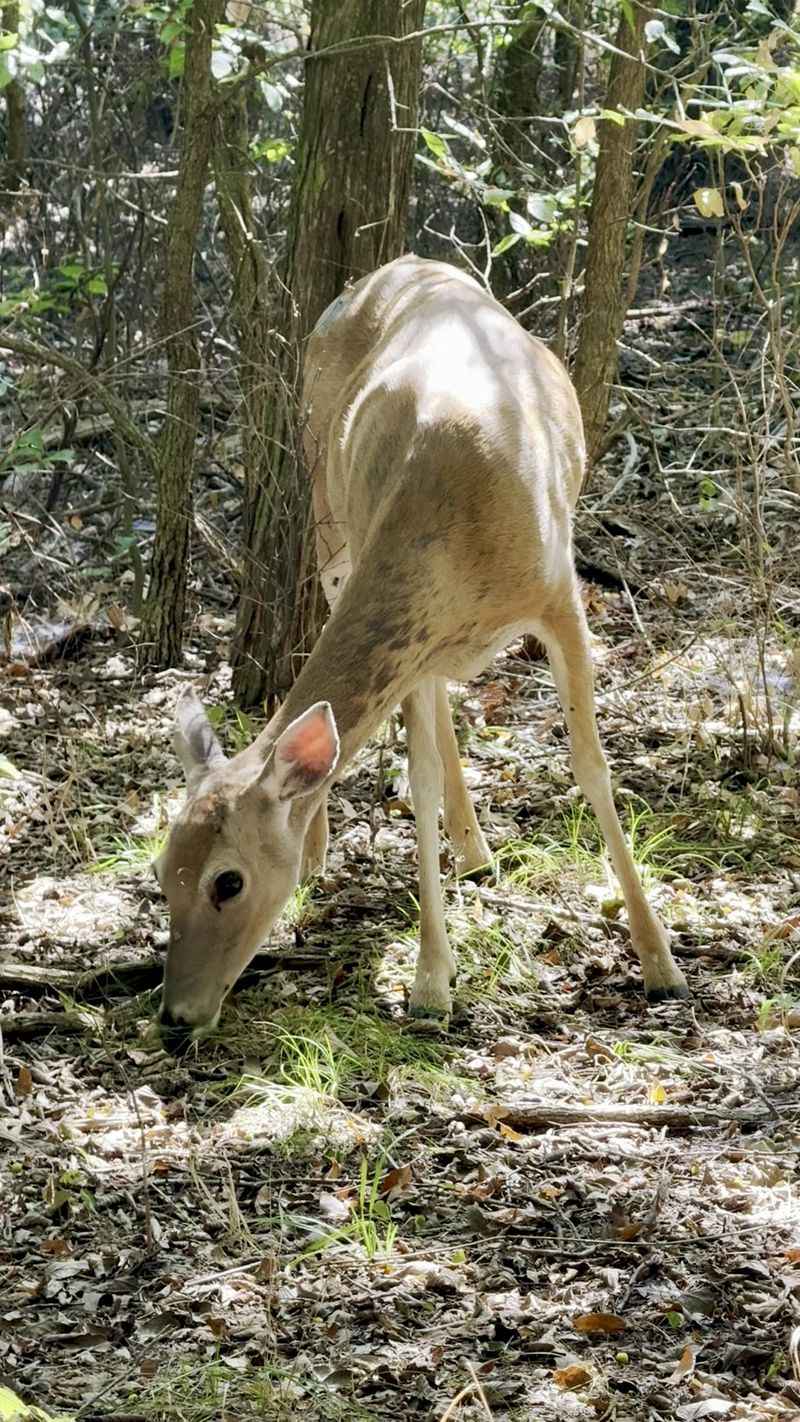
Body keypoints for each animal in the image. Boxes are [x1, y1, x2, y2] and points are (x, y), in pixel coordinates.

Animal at [154, 254, 688, 1050]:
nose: (172, 1019)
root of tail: (393, 268)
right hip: (331, 519)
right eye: (160, 874)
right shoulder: (416, 638)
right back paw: (381, 851)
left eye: (228, 880)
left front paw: (660, 962)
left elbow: (593, 769)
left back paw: (474, 854)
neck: (452, 524)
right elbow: (421, 780)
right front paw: (433, 982)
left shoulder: (561, 595)